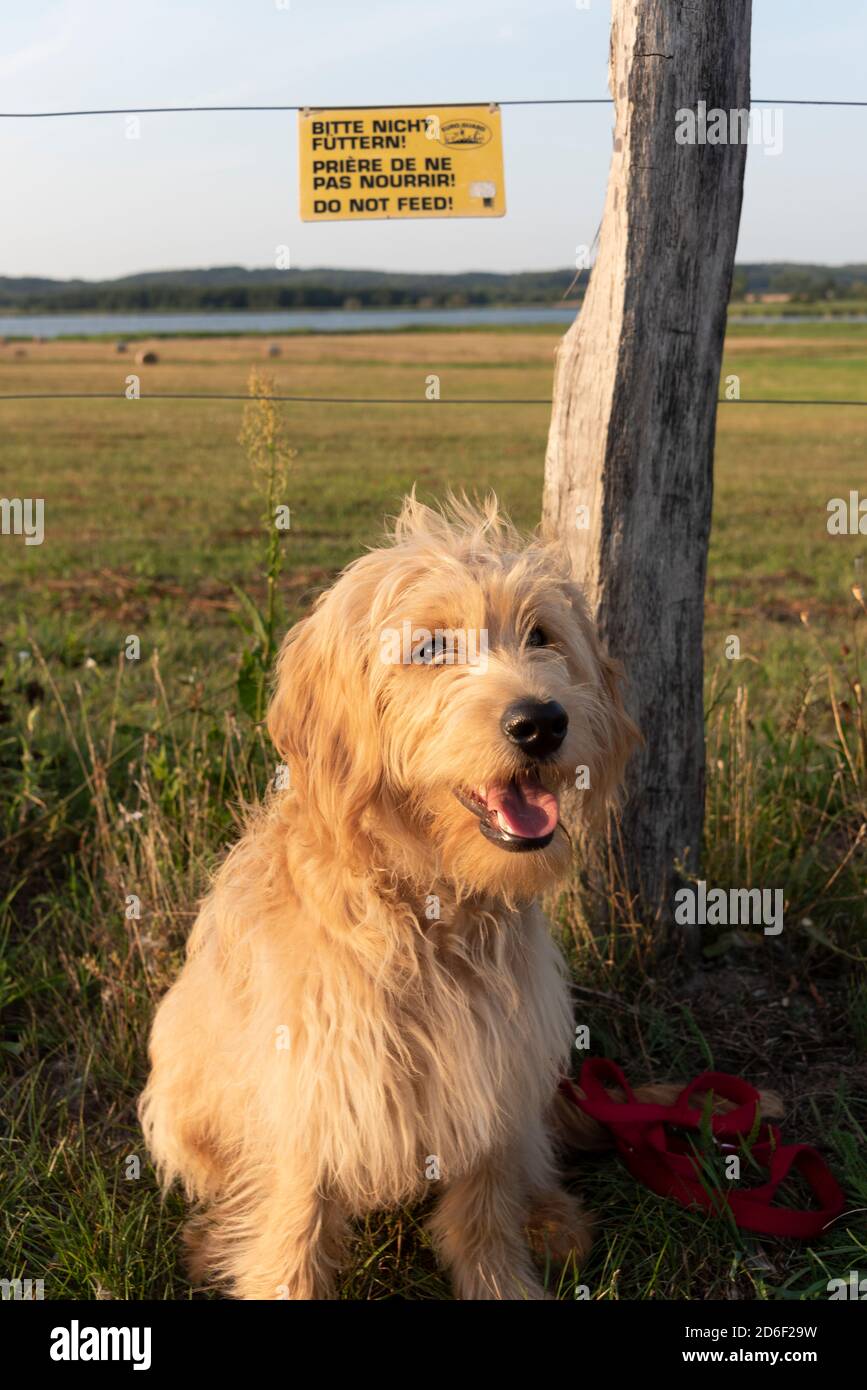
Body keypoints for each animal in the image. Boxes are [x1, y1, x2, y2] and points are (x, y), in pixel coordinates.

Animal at [138, 494, 639, 1295]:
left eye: (541, 635)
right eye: (430, 648)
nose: (540, 722)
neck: (428, 909)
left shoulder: (496, 1069)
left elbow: (485, 1208)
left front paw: (502, 1276)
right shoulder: (307, 1088)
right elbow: (292, 1227)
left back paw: (551, 1219)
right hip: (181, 1107)